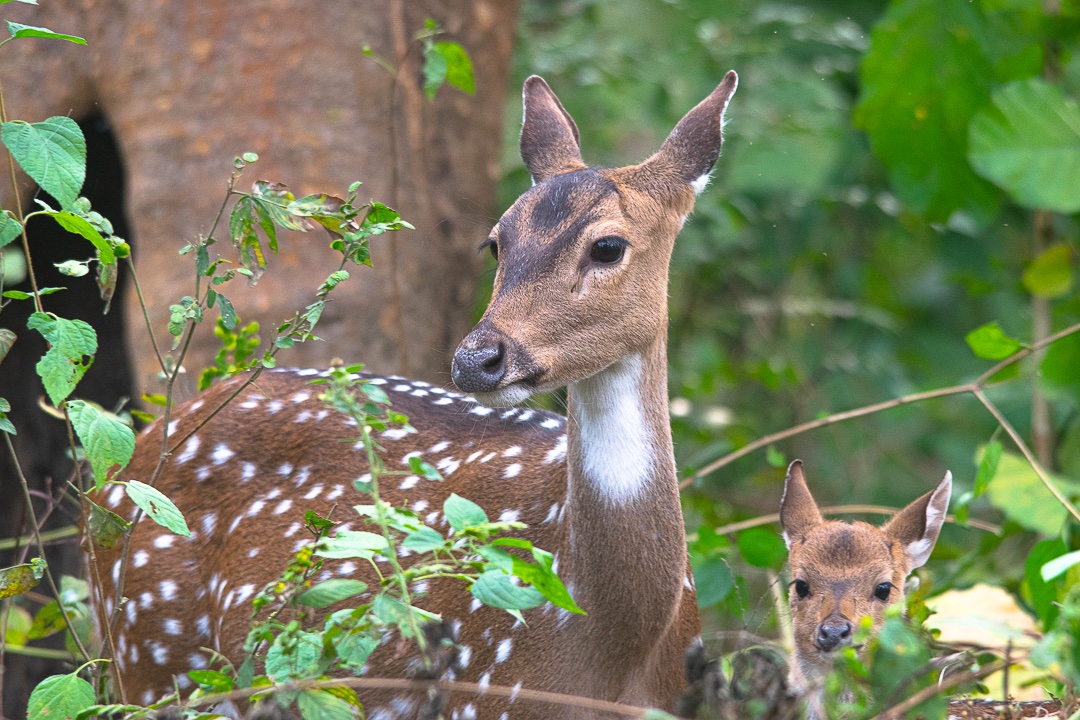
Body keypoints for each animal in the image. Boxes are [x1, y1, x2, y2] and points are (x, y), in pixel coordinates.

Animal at [92, 73, 738, 720]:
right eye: (496, 243)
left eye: (608, 247)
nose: (477, 359)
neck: (613, 646)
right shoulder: (487, 698)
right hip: (146, 655)